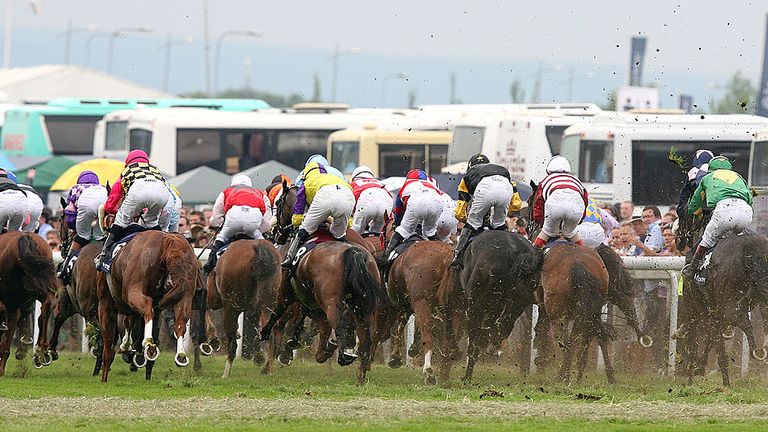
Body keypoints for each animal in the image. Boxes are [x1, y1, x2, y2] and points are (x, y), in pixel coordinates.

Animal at [97, 230, 201, 382]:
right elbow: (129, 321)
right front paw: (126, 345)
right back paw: (180, 355)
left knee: (147, 306)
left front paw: (104, 376)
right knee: (181, 320)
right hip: (186, 292)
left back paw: (149, 344)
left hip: (134, 291)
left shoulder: (105, 305)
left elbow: (108, 346)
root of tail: (169, 240)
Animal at [204, 238, 282, 376]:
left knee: (232, 341)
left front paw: (213, 338)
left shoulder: (215, 297)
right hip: (268, 303)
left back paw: (226, 372)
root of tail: (259, 251)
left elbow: (206, 306)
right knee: (271, 332)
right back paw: (268, 368)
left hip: (232, 306)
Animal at [384, 240, 462, 384]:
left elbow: (400, 326)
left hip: (422, 303)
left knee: (428, 335)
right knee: (450, 337)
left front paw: (395, 357)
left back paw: (428, 371)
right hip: (455, 309)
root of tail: (444, 258)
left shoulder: (407, 305)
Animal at [456, 231, 540, 384]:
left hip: (479, 304)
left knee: (478, 336)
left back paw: (468, 374)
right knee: (503, 327)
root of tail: (514, 251)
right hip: (516, 303)